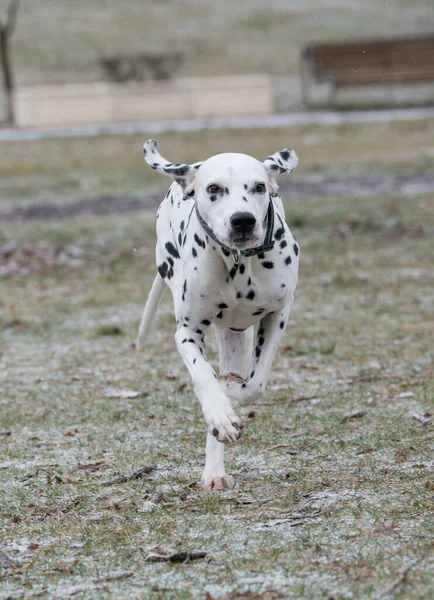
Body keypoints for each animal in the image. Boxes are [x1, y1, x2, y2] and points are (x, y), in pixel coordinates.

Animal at [137, 141, 300, 492]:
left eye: (259, 187)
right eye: (213, 189)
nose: (243, 220)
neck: (237, 262)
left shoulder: (277, 314)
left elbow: (256, 383)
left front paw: (230, 391)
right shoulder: (187, 332)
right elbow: (202, 375)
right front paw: (220, 412)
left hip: (235, 337)